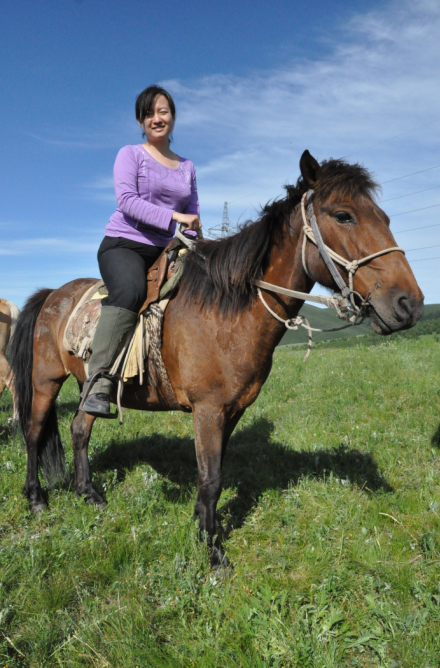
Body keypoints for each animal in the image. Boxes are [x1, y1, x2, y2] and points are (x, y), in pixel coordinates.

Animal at [9, 153, 422, 568]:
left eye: (385, 218)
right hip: (45, 382)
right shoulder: (207, 409)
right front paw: (212, 550)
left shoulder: (232, 409)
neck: (228, 312)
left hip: (90, 385)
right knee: (33, 433)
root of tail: (51, 294)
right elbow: (210, 478)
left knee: (80, 428)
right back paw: (36, 499)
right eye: (343, 215)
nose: (410, 304)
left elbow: (215, 470)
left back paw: (89, 493)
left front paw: (204, 522)